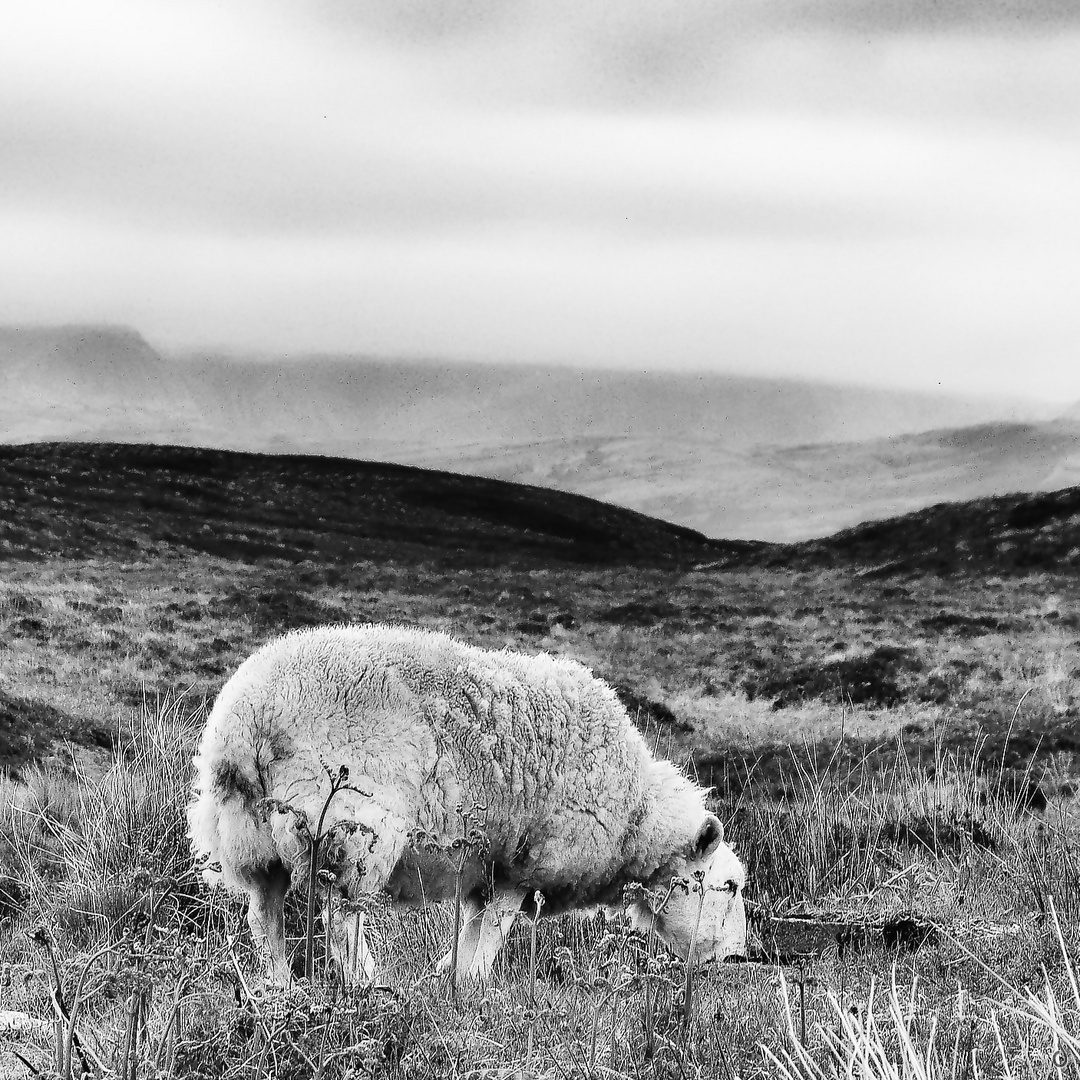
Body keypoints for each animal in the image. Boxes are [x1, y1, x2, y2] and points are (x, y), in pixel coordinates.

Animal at [185, 626, 747, 989]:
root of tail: (242, 722)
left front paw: (450, 976)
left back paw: (279, 987)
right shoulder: (527, 865)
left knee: (264, 913)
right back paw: (366, 984)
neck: (635, 818)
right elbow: (495, 931)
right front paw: (475, 985)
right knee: (342, 916)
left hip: (248, 833)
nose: (738, 956)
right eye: (730, 887)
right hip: (350, 825)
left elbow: (471, 928)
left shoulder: (487, 867)